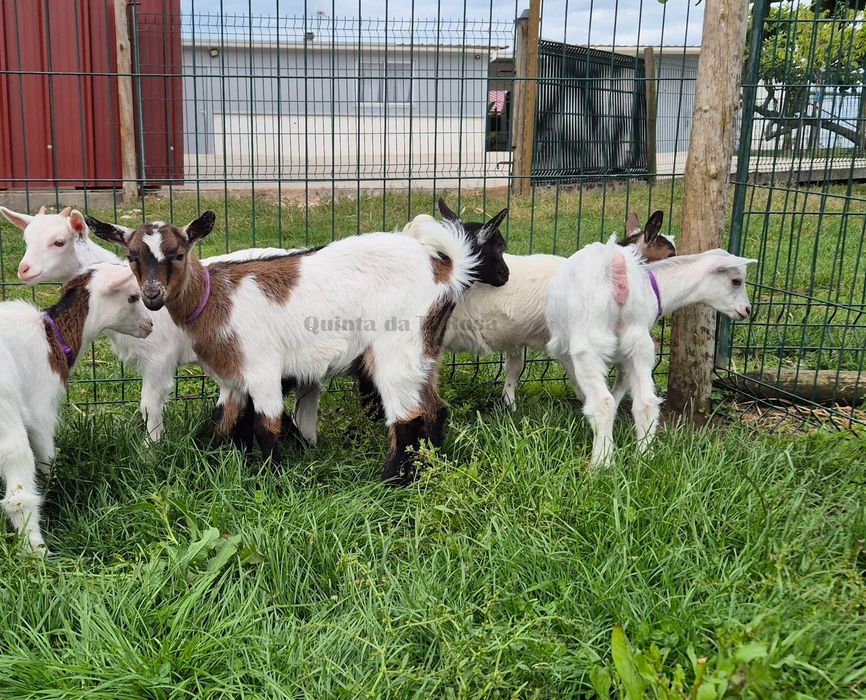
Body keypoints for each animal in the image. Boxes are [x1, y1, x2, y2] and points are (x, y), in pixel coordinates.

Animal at [0, 263, 153, 552]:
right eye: (133, 297)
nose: (149, 325)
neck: (52, 336)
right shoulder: (40, 407)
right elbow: (46, 455)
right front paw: (53, 480)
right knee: (18, 495)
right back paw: (37, 552)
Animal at [1, 204, 294, 442]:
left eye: (59, 242)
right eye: (26, 239)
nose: (24, 270)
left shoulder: (159, 358)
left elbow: (149, 405)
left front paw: (151, 447)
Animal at [86, 208, 509, 483]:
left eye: (178, 254)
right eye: (131, 257)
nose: (152, 296)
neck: (218, 299)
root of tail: (445, 269)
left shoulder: (262, 369)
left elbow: (266, 426)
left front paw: (273, 479)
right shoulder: (232, 378)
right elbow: (225, 421)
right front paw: (214, 462)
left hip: (396, 349)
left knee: (408, 418)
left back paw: (389, 482)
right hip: (425, 349)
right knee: (436, 408)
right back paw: (431, 465)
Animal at [544, 239, 757, 467]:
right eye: (736, 281)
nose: (746, 310)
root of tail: (618, 269)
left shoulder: (569, 352)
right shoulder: (625, 359)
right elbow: (619, 392)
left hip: (589, 345)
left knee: (604, 402)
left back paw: (603, 462)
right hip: (640, 345)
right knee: (646, 402)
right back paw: (644, 456)